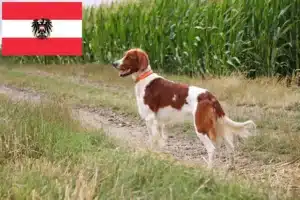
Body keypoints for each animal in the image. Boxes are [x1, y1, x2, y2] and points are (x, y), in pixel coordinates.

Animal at [111, 48, 256, 167]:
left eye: (129, 57)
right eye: (124, 55)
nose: (114, 63)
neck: (144, 79)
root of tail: (210, 96)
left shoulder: (150, 118)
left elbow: (153, 140)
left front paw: (150, 155)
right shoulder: (159, 122)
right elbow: (160, 141)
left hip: (200, 127)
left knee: (212, 149)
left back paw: (209, 171)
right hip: (218, 124)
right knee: (230, 146)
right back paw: (230, 167)